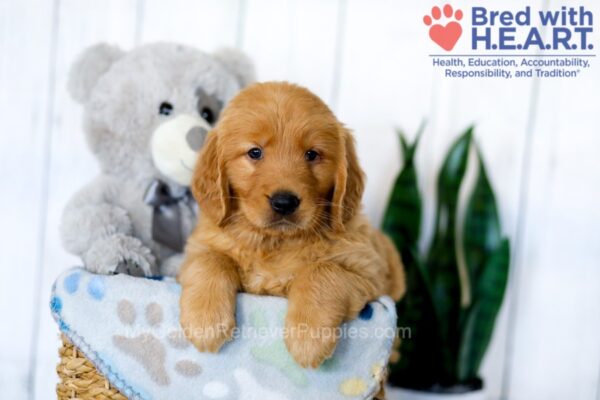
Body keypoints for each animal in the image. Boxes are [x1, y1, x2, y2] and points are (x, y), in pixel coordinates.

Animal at [177, 81, 404, 368]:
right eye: (255, 152)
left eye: (312, 154)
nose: (284, 202)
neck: (275, 241)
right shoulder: (197, 249)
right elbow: (211, 259)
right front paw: (206, 321)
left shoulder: (369, 272)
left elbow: (322, 270)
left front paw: (309, 337)